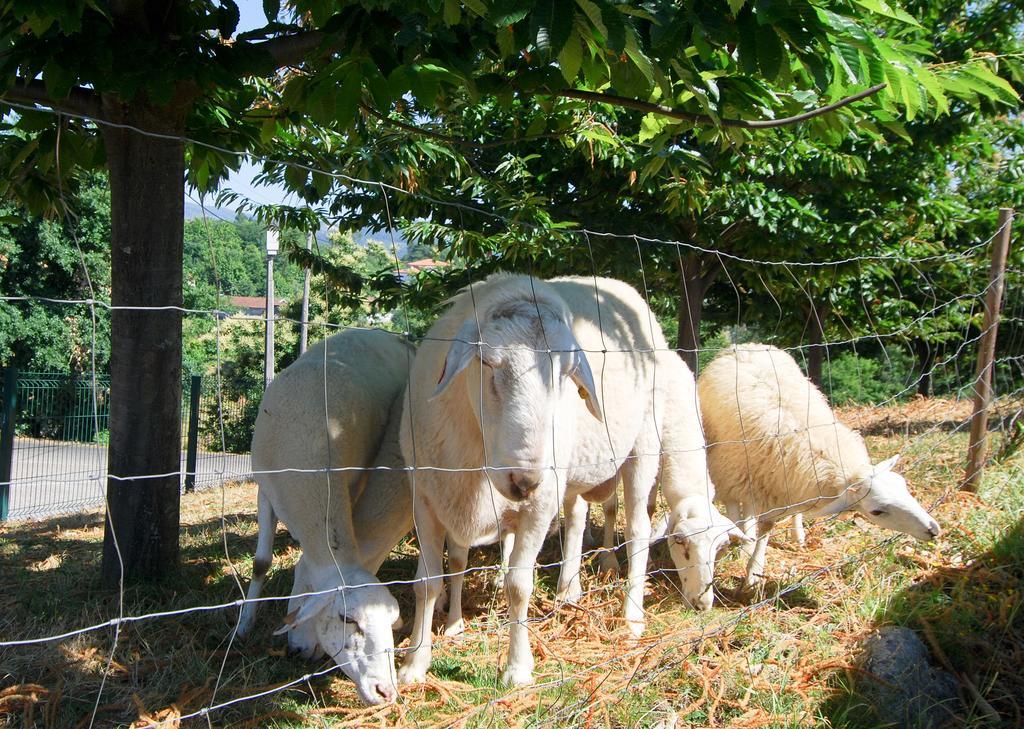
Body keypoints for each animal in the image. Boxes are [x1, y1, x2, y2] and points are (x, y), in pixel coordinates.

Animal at [237, 329, 413, 704]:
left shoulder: (351, 482)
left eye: (391, 623)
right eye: (348, 619)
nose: (386, 692)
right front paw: (243, 626)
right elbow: (260, 563)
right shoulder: (265, 489)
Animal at [395, 274, 741, 688]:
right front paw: (414, 664)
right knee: (576, 522)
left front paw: (517, 669)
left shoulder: (539, 505)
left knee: (638, 529)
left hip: (643, 446)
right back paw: (567, 591)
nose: (526, 480)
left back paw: (631, 616)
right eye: (486, 361)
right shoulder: (426, 500)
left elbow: (519, 585)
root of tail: (611, 281)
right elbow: (427, 584)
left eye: (566, 372)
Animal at [700, 344, 937, 589]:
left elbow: (766, 526)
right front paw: (745, 557)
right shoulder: (729, 478)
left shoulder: (780, 486)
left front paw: (753, 571)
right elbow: (739, 518)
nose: (933, 529)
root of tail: (746, 346)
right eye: (877, 511)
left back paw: (797, 535)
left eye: (904, 486)